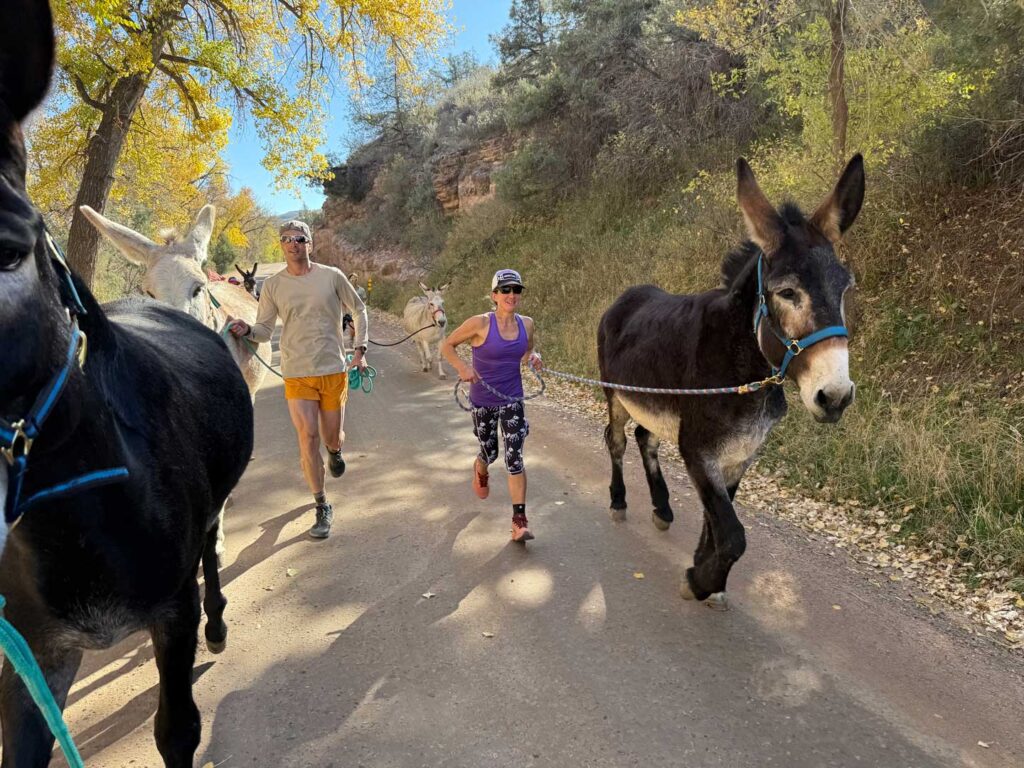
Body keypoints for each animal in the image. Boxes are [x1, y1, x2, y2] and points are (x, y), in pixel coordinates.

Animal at [0, 2, 254, 765]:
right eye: (143, 284)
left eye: (201, 284)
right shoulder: (34, 655)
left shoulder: (169, 610)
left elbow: (178, 730)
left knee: (213, 545)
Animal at [598, 155, 864, 609]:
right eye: (787, 293)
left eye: (845, 289)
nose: (836, 397)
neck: (745, 371)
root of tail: (627, 295)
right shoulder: (698, 450)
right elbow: (734, 534)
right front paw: (700, 581)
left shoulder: (741, 454)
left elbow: (717, 522)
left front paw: (708, 574)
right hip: (614, 394)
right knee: (615, 440)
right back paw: (619, 501)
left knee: (645, 438)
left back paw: (662, 509)